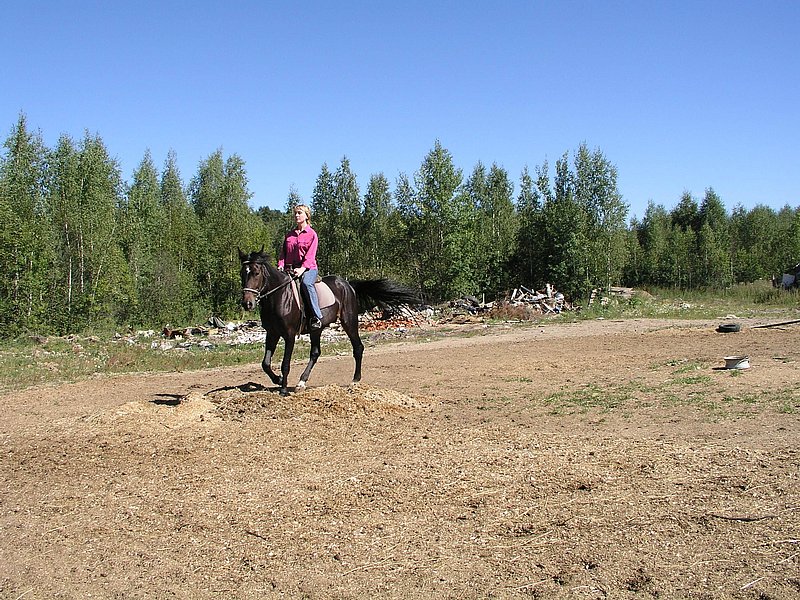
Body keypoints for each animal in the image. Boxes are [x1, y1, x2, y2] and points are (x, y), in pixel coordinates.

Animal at [241, 246, 422, 396]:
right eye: (243, 273)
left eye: (256, 273)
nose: (247, 303)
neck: (278, 297)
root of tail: (347, 284)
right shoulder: (272, 333)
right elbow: (265, 363)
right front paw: (278, 380)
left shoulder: (289, 335)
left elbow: (285, 363)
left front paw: (283, 389)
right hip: (316, 329)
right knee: (315, 353)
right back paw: (301, 382)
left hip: (349, 321)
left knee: (358, 348)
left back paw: (355, 380)